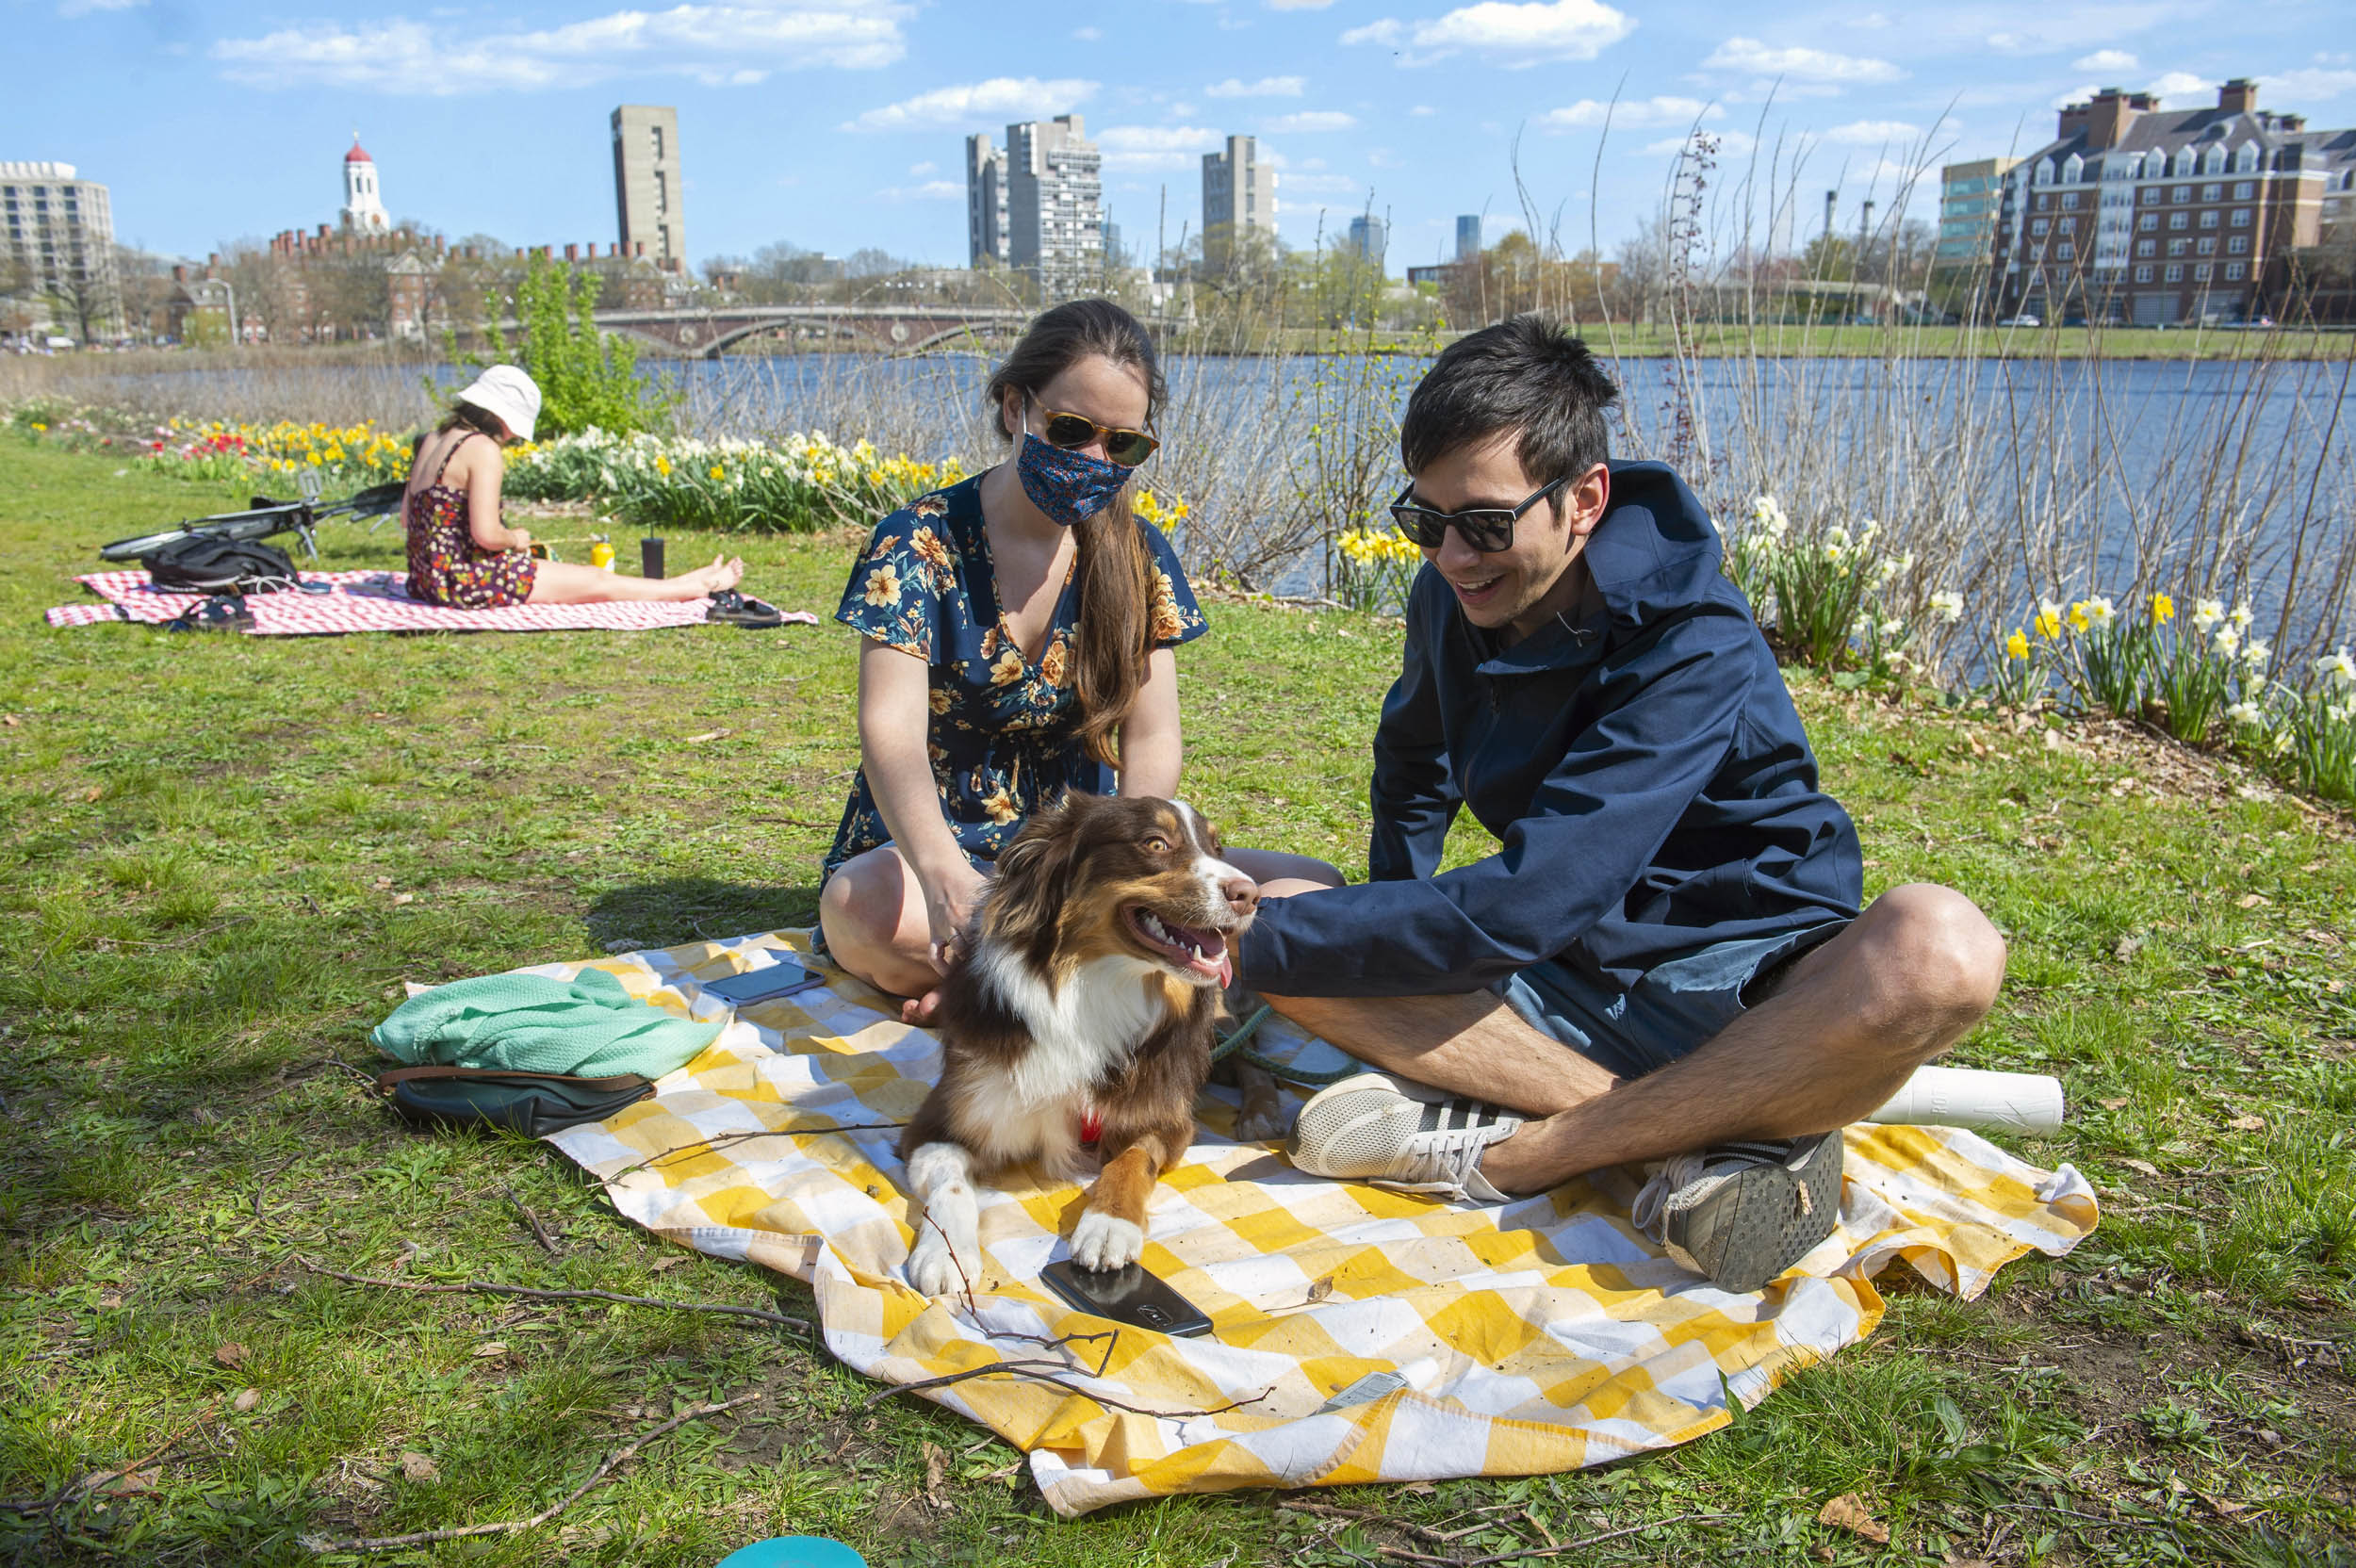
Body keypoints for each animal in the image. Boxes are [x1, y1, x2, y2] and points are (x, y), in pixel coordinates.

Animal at [900, 795, 1263, 1290]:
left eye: (1217, 848)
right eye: (1156, 843)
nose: (1251, 895)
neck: (1091, 990)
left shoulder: (1166, 1119)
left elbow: (1130, 1161)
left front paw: (1108, 1225)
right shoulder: (938, 1123)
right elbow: (950, 1183)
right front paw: (946, 1253)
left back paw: (1261, 1114)